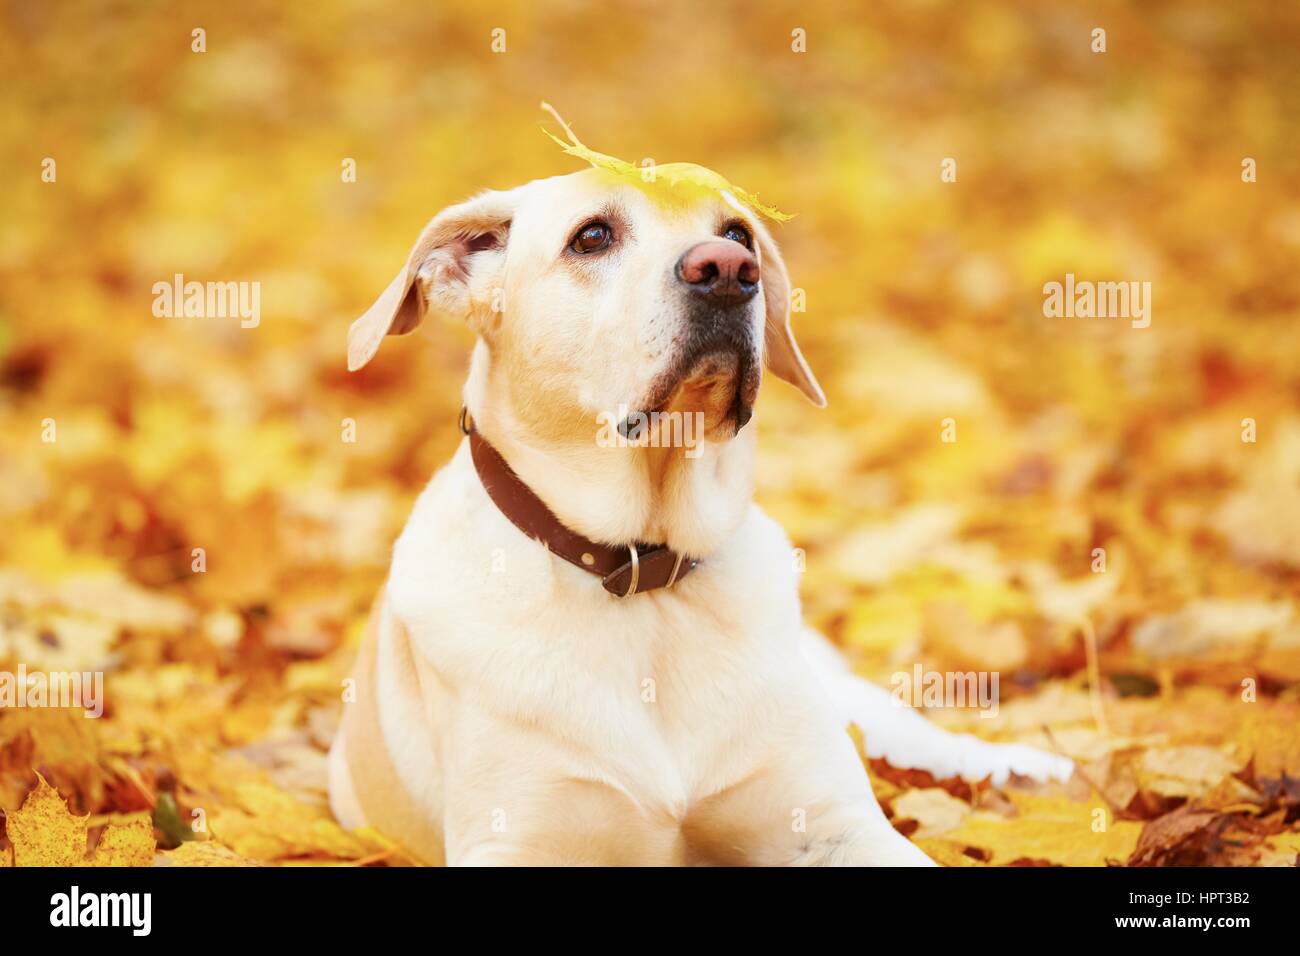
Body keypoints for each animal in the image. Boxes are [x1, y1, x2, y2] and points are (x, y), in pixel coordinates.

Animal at [330, 164, 1071, 868]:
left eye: (738, 232)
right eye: (591, 236)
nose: (728, 269)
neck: (642, 573)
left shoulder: (833, 822)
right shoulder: (516, 839)